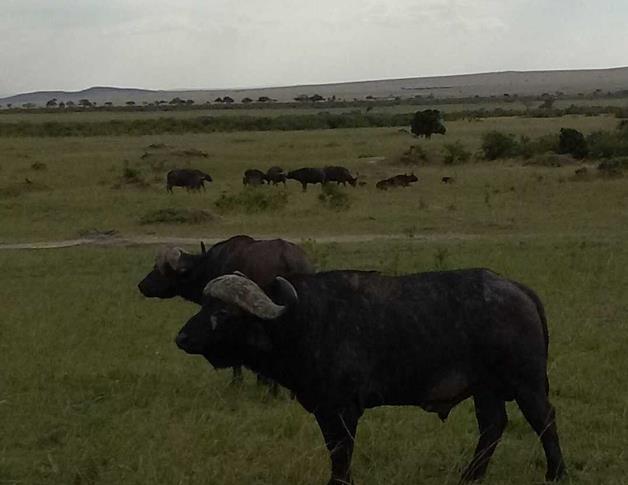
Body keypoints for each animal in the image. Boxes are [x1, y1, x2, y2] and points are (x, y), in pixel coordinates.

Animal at [175, 270, 564, 482]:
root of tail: (518, 290)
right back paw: (470, 477)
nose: (181, 338)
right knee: (493, 426)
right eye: (204, 305)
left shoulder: (344, 409)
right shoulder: (323, 409)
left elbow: (341, 451)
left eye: (223, 312)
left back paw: (555, 473)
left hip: (526, 383)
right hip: (486, 389)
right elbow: (333, 448)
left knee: (544, 419)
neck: (301, 321)